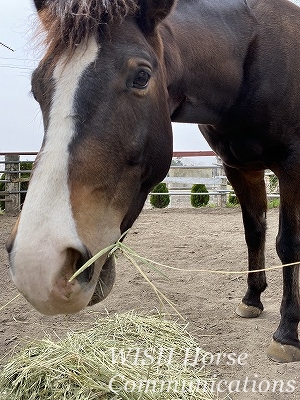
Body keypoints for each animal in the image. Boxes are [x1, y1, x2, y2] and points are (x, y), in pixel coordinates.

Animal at [4, 0, 300, 362]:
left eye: (141, 77)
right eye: (37, 86)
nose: (38, 264)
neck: (252, 61)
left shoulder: (291, 167)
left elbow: (288, 244)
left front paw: (287, 332)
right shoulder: (240, 169)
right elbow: (254, 232)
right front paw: (252, 299)